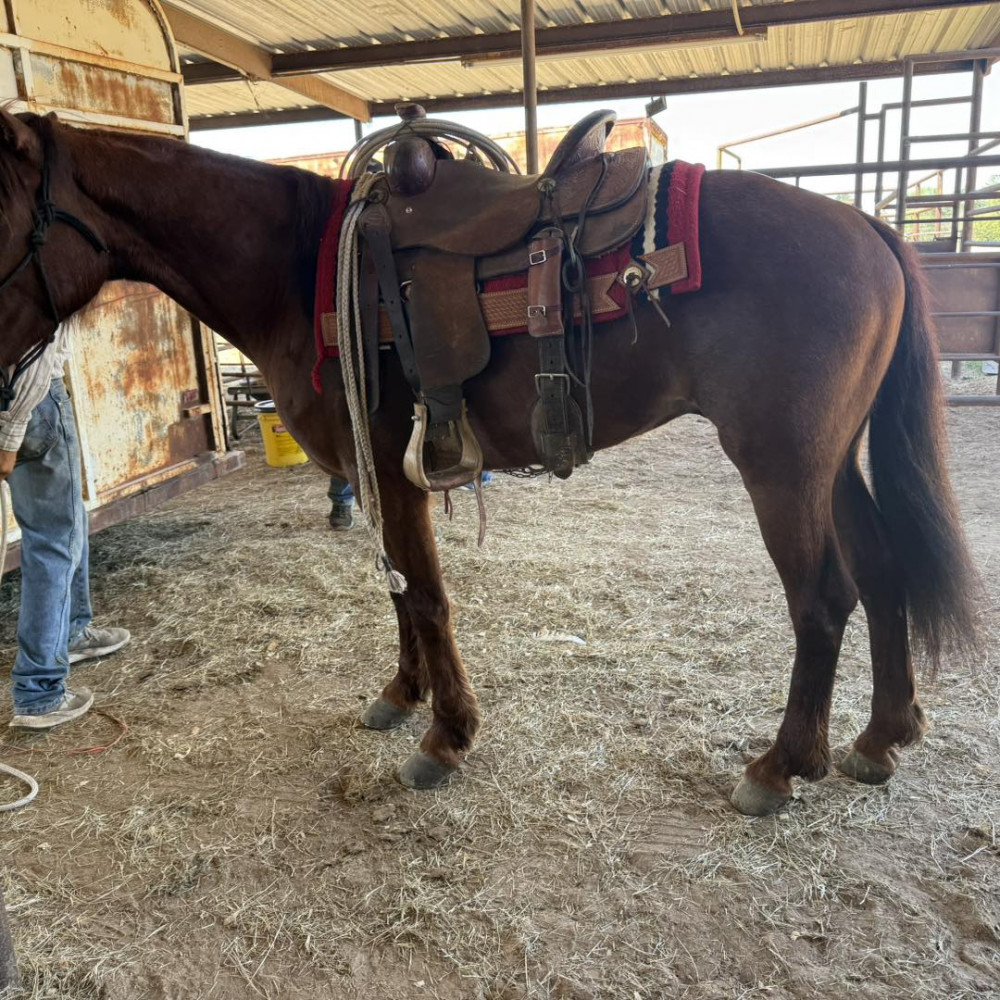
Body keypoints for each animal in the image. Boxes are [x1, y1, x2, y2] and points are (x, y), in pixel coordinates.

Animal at [0, 108, 979, 820]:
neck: (294, 268)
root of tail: (867, 226)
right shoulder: (382, 477)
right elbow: (400, 589)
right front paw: (401, 695)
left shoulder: (390, 469)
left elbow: (428, 598)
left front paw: (446, 737)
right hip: (832, 464)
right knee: (883, 571)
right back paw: (880, 738)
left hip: (782, 466)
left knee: (823, 600)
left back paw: (781, 766)